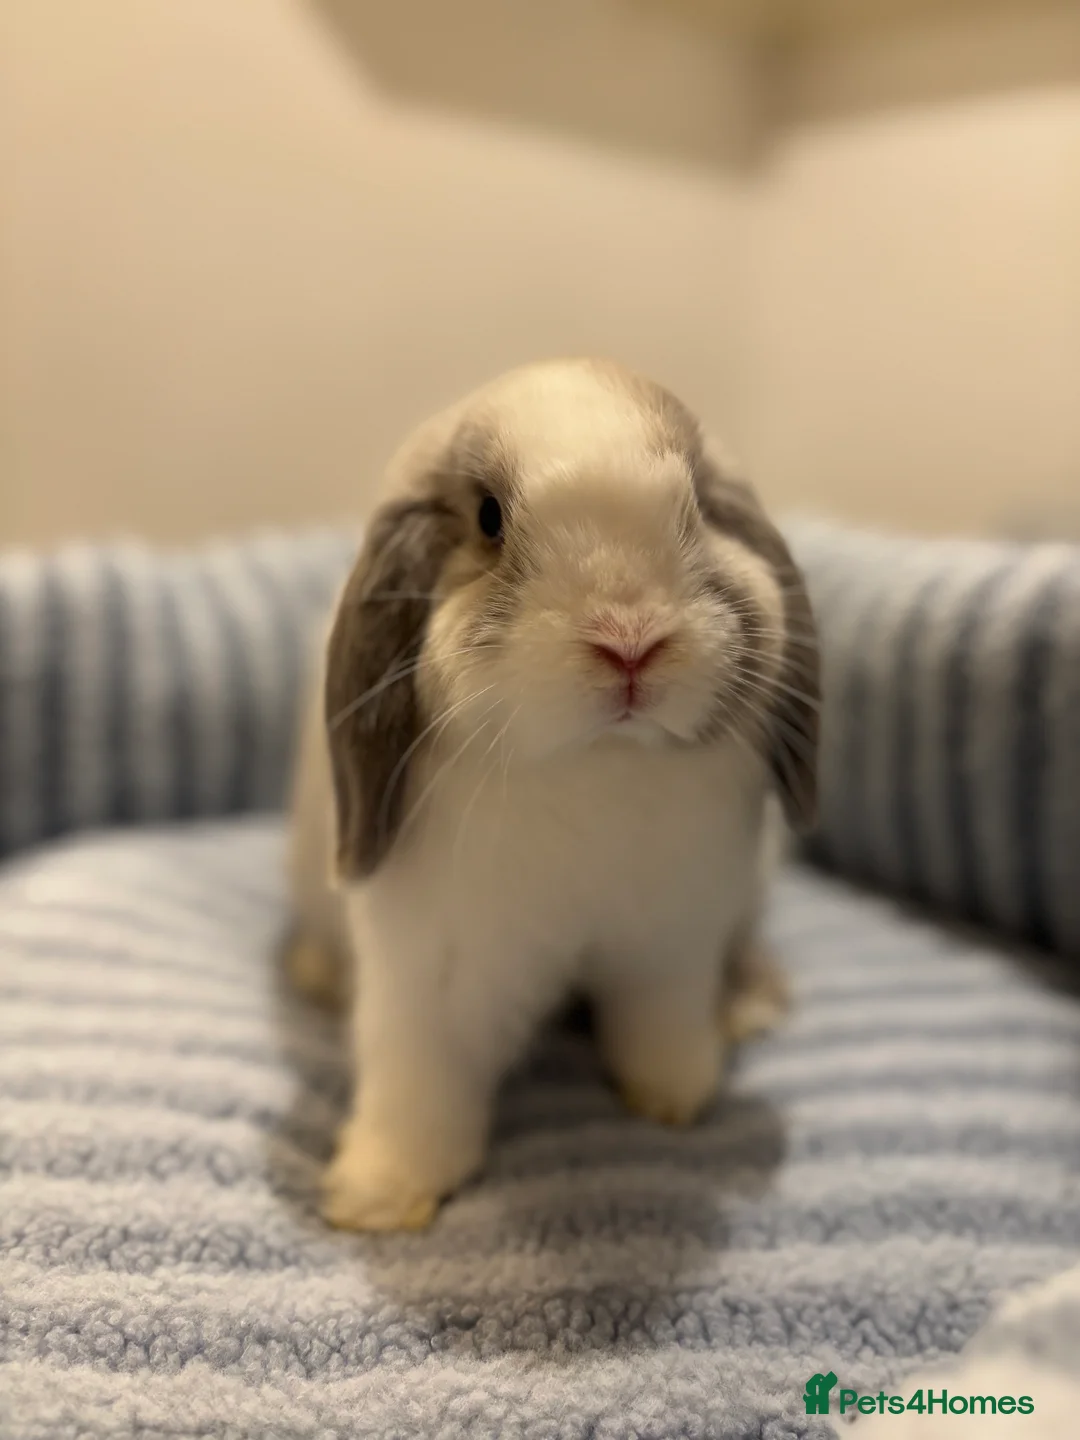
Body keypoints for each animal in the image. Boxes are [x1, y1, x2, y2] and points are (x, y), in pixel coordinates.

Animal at [286, 357, 819, 1233]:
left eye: (699, 505)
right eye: (490, 518)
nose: (630, 642)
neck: (592, 764)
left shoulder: (669, 947)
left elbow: (658, 1027)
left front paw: (677, 1097)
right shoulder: (431, 979)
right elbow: (417, 1082)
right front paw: (379, 1199)